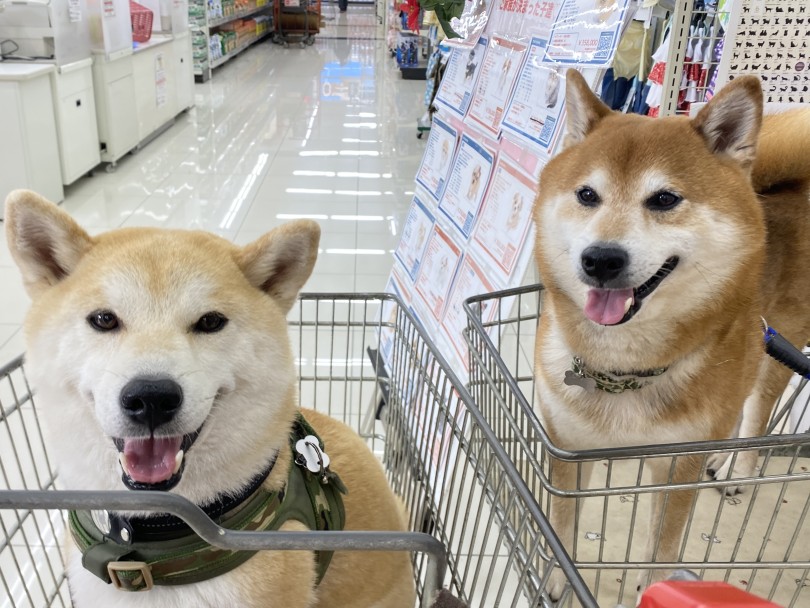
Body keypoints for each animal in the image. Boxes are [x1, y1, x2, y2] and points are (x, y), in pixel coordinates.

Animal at [532, 70, 808, 600]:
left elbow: (664, 540)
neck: (623, 372)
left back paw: (738, 468)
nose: (601, 259)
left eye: (664, 199)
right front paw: (557, 574)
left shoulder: (679, 465)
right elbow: (562, 518)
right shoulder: (567, 445)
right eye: (586, 195)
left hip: (777, 350)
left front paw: (659, 585)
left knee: (758, 411)